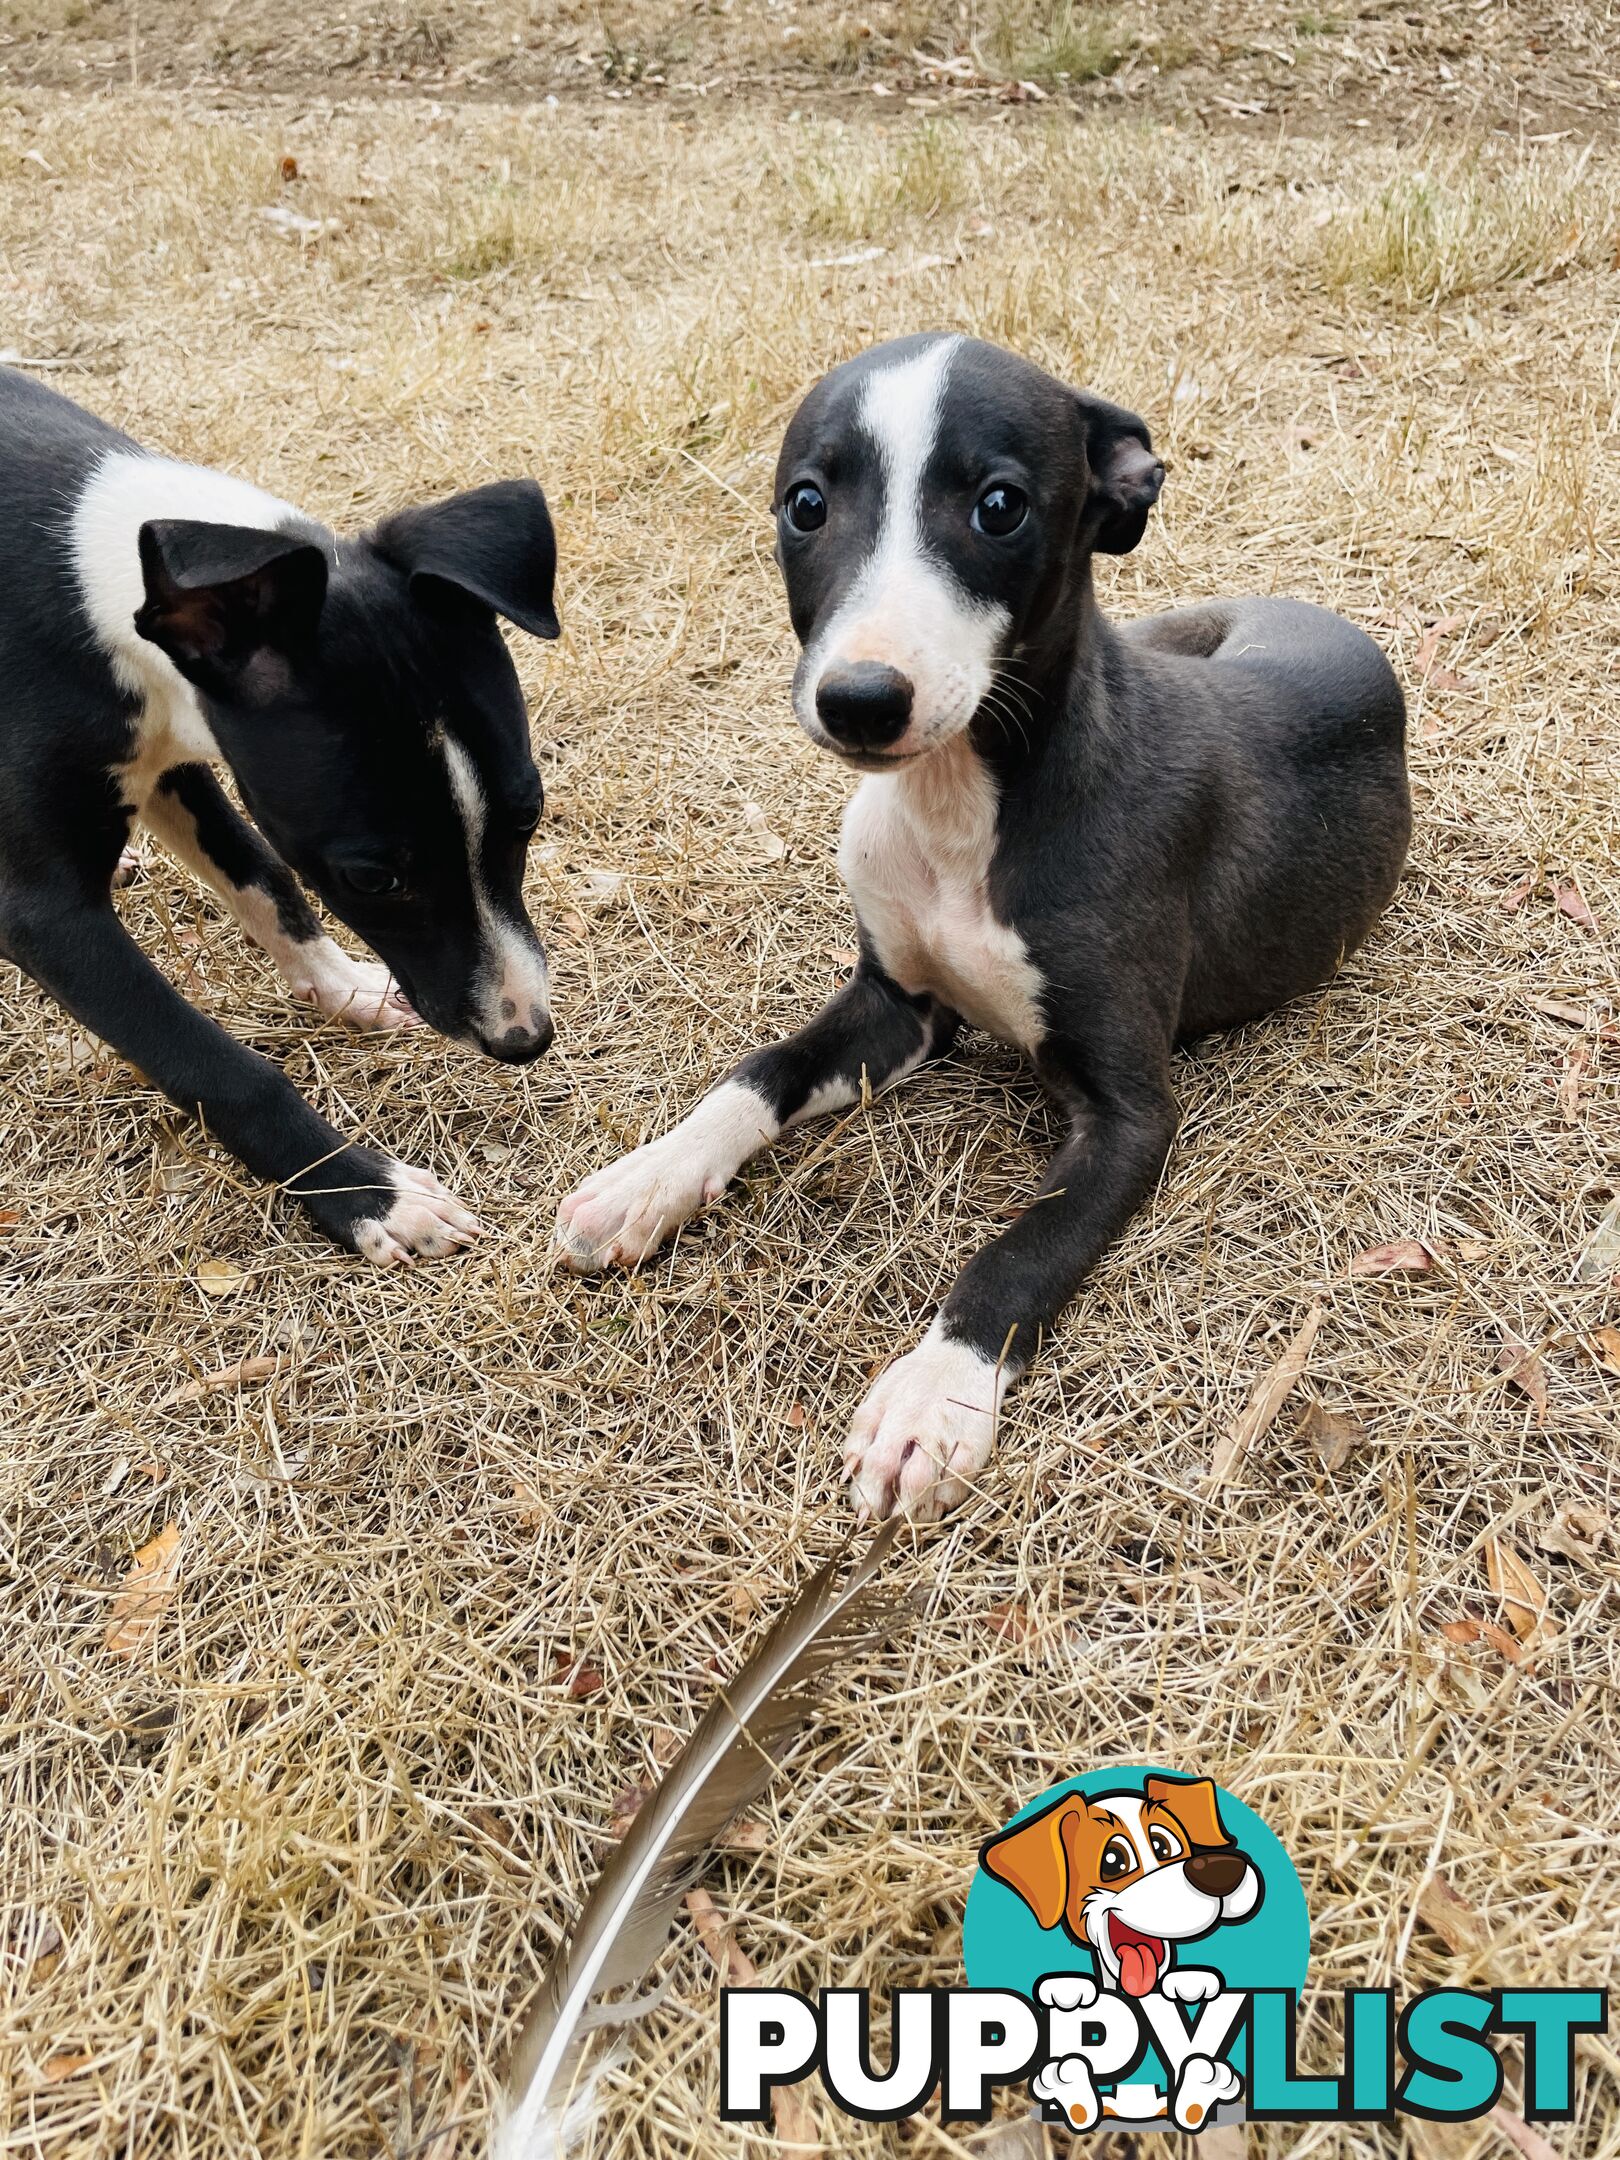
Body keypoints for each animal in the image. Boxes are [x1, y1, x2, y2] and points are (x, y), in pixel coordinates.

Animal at [557, 332, 1408, 1520]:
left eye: (999, 506)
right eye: (807, 505)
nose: (861, 700)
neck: (963, 802)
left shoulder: (1129, 1114)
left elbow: (1021, 1251)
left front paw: (931, 1396)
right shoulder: (897, 1007)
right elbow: (755, 1075)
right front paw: (652, 1176)